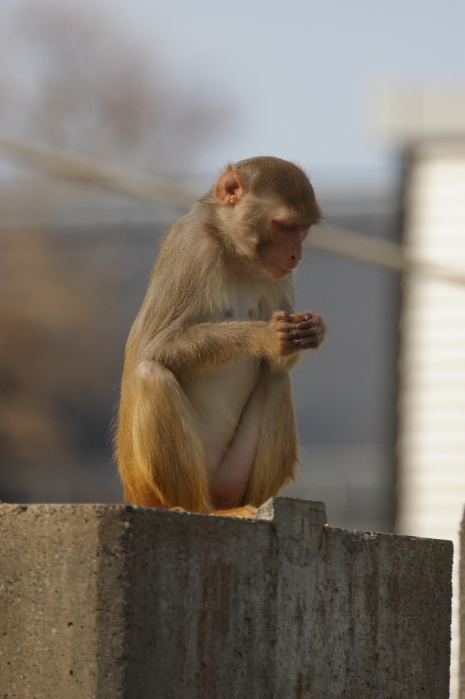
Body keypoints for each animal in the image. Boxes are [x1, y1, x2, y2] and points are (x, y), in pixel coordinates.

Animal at [116, 159, 326, 520]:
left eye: (303, 230)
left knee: (277, 379)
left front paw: (314, 329)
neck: (234, 251)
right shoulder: (193, 247)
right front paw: (265, 335)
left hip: (230, 479)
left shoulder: (277, 276)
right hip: (149, 488)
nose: (296, 257)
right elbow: (155, 346)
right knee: (150, 375)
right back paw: (200, 509)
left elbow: (279, 362)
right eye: (286, 227)